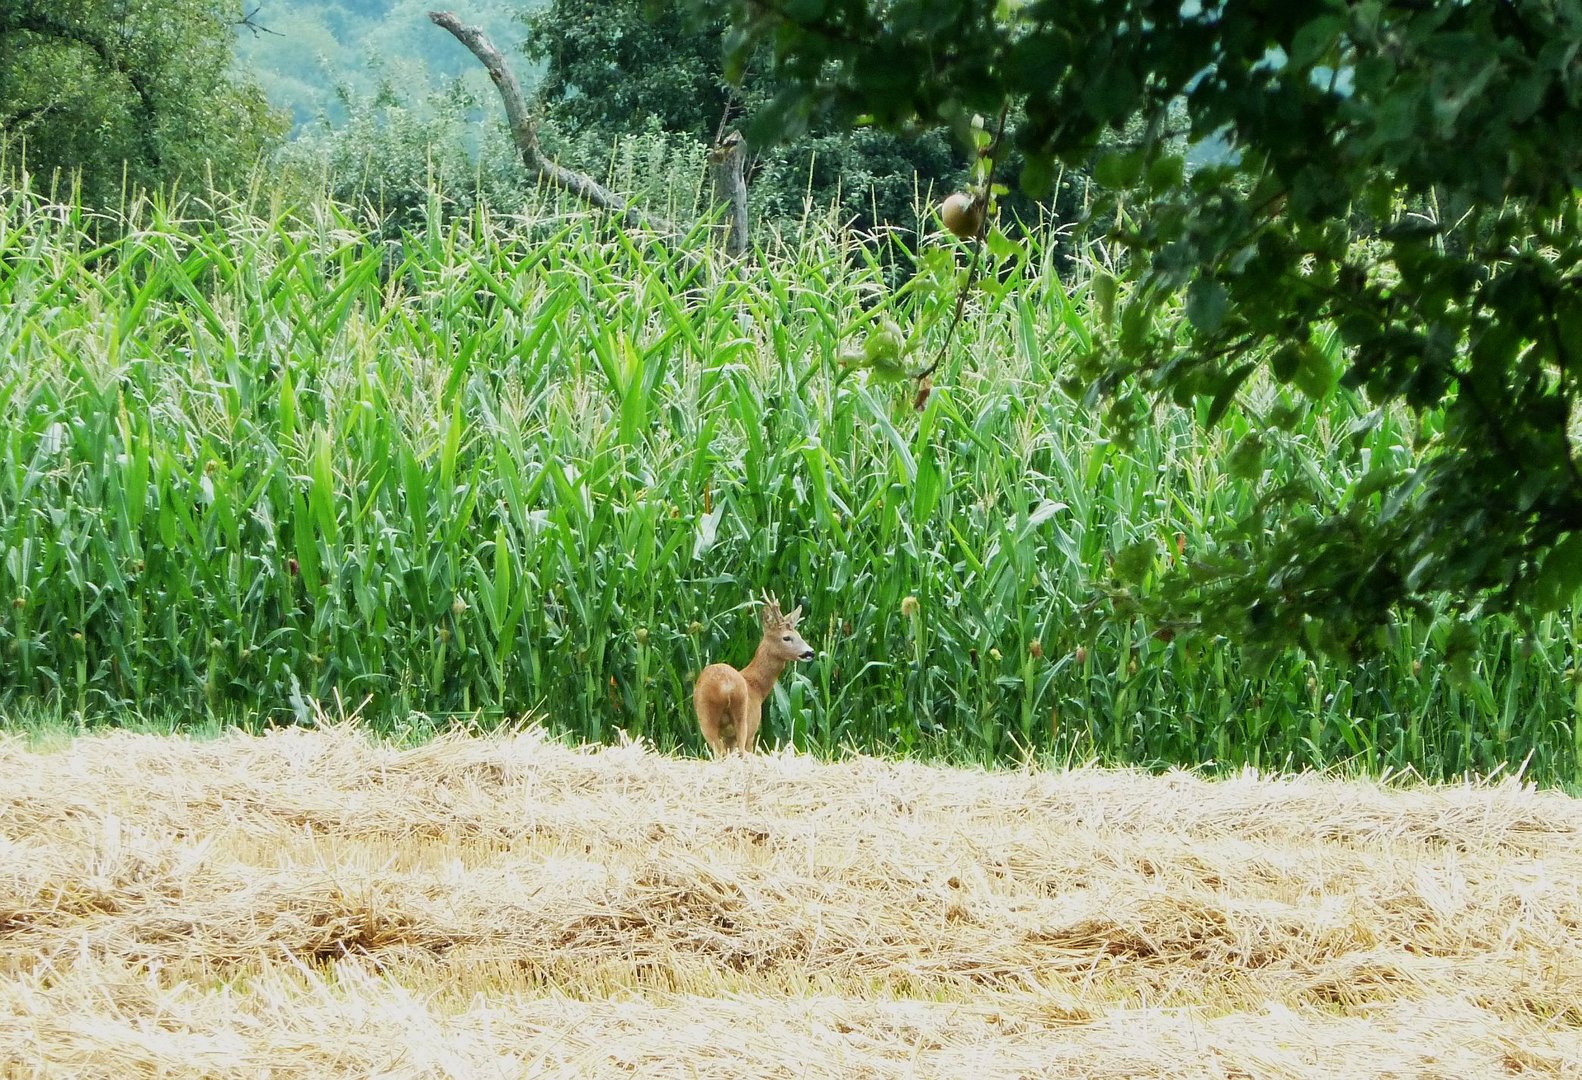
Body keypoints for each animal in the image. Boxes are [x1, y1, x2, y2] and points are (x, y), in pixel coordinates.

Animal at [692, 594, 816, 755]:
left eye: (799, 635)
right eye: (787, 637)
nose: (810, 652)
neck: (756, 686)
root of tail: (725, 686)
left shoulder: (728, 736)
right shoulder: (753, 726)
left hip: (706, 717)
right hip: (742, 716)